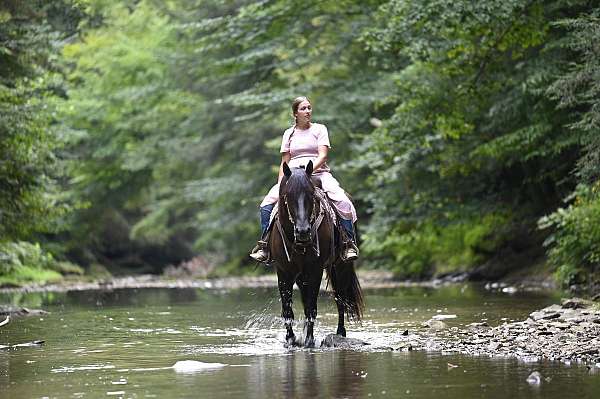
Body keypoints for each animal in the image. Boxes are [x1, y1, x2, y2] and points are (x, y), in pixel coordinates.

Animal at [268, 161, 364, 348]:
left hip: (340, 266)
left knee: (340, 298)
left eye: (311, 194)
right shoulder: (283, 271)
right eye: (288, 194)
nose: (303, 231)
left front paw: (309, 340)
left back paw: (340, 332)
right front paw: (290, 339)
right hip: (301, 276)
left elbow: (311, 307)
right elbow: (287, 309)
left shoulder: (315, 270)